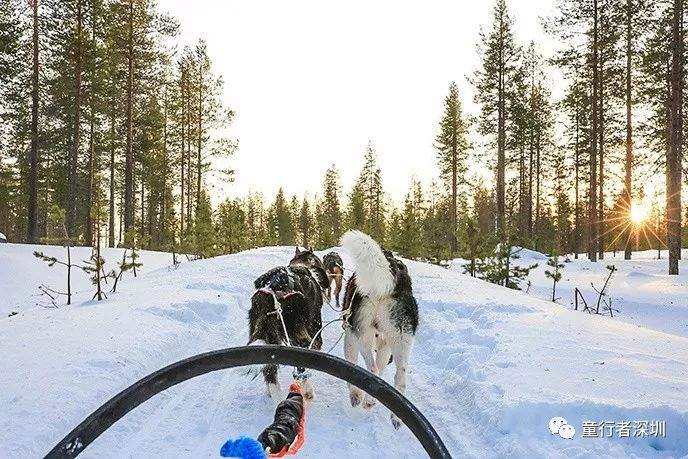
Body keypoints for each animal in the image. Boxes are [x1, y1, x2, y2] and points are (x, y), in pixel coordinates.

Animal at [340, 232, 420, 430]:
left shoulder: (350, 339)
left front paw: (355, 395)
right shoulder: (385, 346)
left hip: (362, 337)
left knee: (373, 369)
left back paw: (366, 400)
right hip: (401, 340)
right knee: (400, 377)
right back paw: (395, 416)